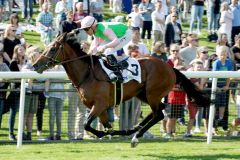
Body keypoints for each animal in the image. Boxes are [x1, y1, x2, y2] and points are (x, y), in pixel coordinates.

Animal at [33, 32, 210, 148]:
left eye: (53, 48)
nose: (35, 65)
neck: (88, 73)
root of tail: (169, 67)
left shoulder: (99, 104)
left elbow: (86, 124)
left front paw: (105, 133)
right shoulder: (99, 108)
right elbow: (103, 125)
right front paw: (111, 132)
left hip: (152, 93)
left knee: (158, 114)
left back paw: (135, 136)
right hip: (143, 94)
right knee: (157, 112)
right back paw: (134, 129)